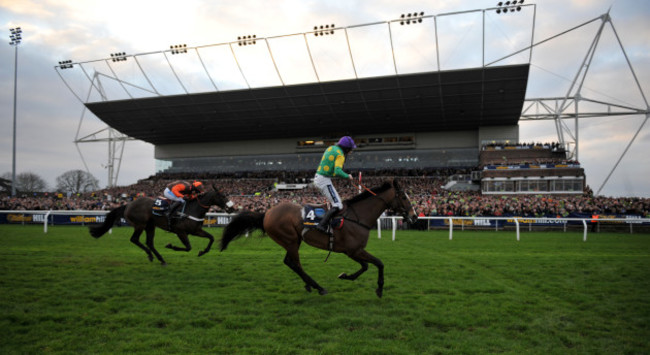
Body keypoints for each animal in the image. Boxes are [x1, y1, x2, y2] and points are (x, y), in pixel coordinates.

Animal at [88, 188, 234, 266]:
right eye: (222, 196)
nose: (232, 208)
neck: (193, 209)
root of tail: (128, 204)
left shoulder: (196, 230)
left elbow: (211, 238)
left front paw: (202, 252)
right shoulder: (180, 231)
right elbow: (188, 247)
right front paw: (170, 246)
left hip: (150, 226)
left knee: (149, 242)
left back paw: (160, 259)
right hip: (140, 224)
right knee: (135, 239)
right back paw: (151, 255)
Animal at [220, 178, 418, 298]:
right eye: (403, 196)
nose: (414, 216)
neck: (358, 217)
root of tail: (266, 213)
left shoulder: (352, 251)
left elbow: (366, 266)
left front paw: (345, 276)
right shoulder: (353, 250)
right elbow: (378, 263)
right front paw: (379, 288)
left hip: (293, 241)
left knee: (290, 262)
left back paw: (309, 285)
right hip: (290, 240)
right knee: (294, 264)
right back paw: (317, 287)